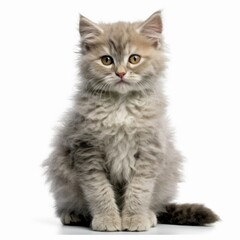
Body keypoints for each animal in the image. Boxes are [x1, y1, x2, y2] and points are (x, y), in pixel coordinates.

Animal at [43, 10, 219, 231]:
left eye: (134, 59)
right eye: (106, 60)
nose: (120, 73)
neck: (122, 105)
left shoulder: (149, 150)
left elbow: (139, 190)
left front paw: (135, 218)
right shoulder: (87, 149)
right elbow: (99, 190)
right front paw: (107, 219)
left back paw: (150, 215)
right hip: (61, 174)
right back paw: (73, 214)